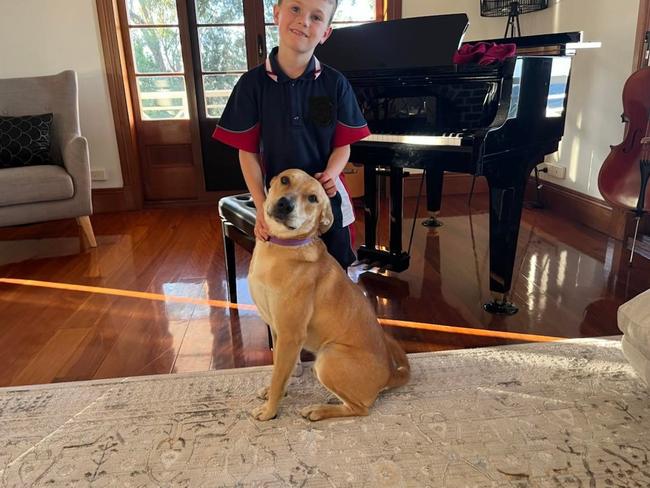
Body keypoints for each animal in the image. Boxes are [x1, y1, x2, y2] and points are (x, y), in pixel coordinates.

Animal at [246, 168, 408, 420]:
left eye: (313, 198)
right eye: (285, 179)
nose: (285, 204)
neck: (282, 247)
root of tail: (390, 375)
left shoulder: (290, 335)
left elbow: (279, 375)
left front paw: (270, 411)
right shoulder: (277, 331)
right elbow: (280, 372)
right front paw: (275, 393)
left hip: (328, 356)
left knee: (360, 409)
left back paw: (319, 410)